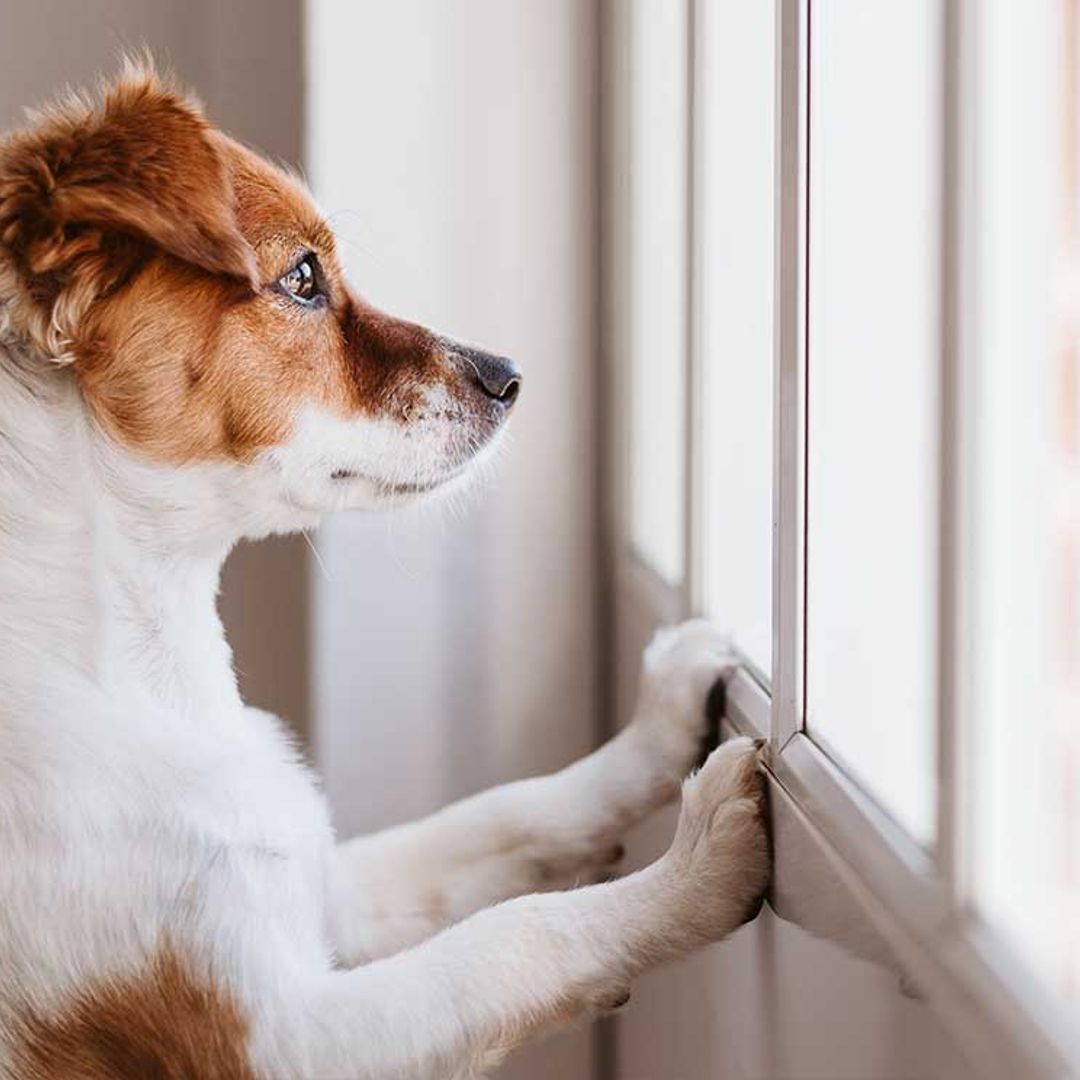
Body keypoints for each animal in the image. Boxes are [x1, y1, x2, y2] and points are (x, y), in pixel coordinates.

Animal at [0, 67, 768, 1080]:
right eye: (301, 278)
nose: (510, 374)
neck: (139, 665)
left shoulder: (327, 888)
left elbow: (506, 816)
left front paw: (661, 723)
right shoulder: (280, 1040)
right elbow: (516, 938)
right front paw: (696, 865)